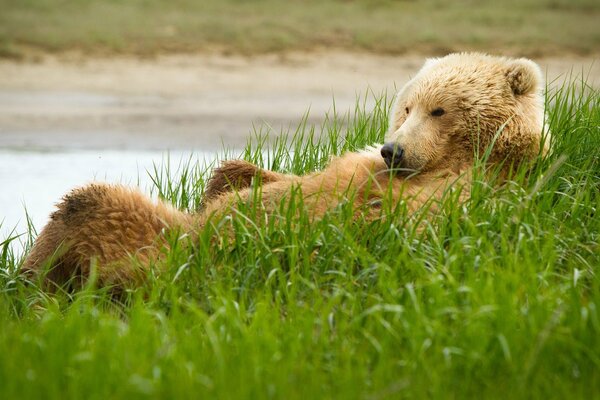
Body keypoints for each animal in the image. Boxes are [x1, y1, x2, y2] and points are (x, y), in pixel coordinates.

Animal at [22, 53, 548, 290]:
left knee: (89, 204)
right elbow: (261, 178)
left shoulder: (453, 197)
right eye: (407, 106)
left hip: (156, 254)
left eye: (439, 110)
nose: (392, 150)